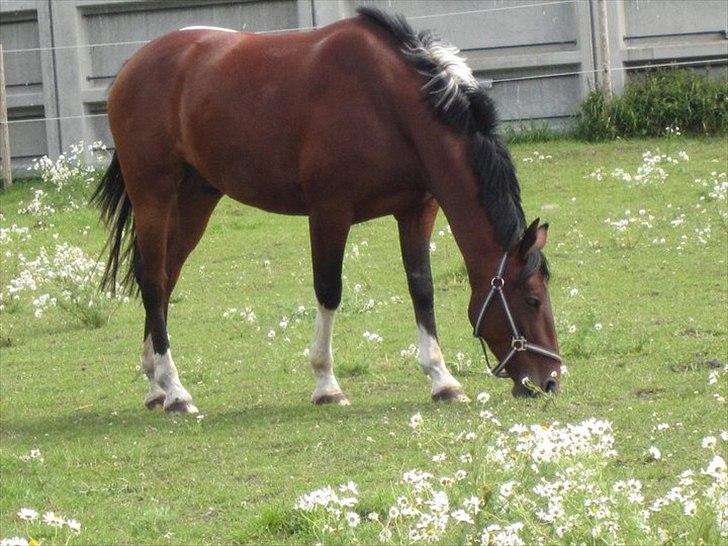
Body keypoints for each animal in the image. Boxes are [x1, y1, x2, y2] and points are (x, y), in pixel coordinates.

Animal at [94, 8, 560, 410]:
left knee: (165, 277)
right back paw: (175, 391)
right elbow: (329, 291)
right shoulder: (330, 212)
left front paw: (442, 380)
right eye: (533, 300)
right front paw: (326, 384)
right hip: (153, 196)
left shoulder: (417, 210)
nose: (551, 380)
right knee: (154, 282)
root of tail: (133, 66)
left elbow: (422, 289)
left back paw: (156, 383)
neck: (388, 102)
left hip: (196, 199)